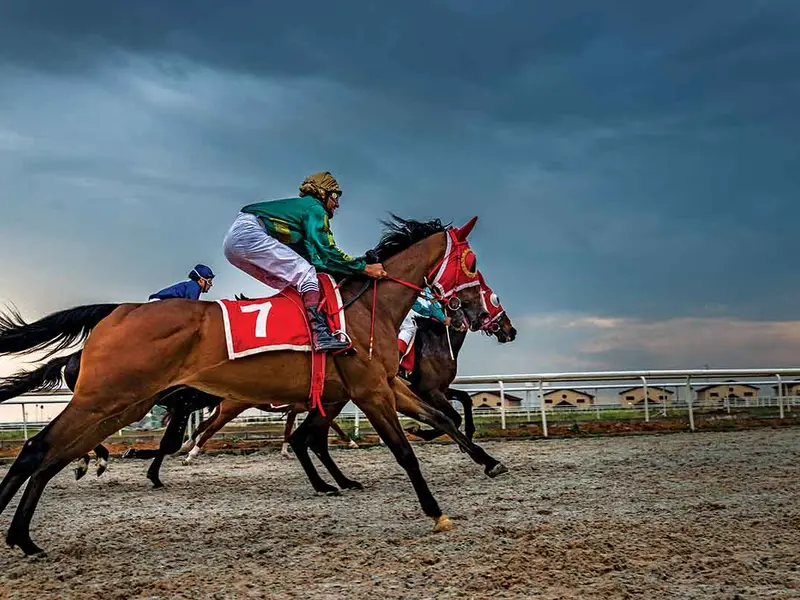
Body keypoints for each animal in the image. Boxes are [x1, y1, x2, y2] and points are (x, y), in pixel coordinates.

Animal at [0, 214, 506, 552]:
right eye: (472, 261)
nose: (484, 313)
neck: (367, 307)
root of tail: (117, 310)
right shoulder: (370, 390)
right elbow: (404, 451)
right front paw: (436, 512)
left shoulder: (388, 384)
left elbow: (442, 416)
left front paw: (490, 463)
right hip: (106, 398)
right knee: (38, 449)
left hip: (123, 404)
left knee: (54, 458)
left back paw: (24, 535)